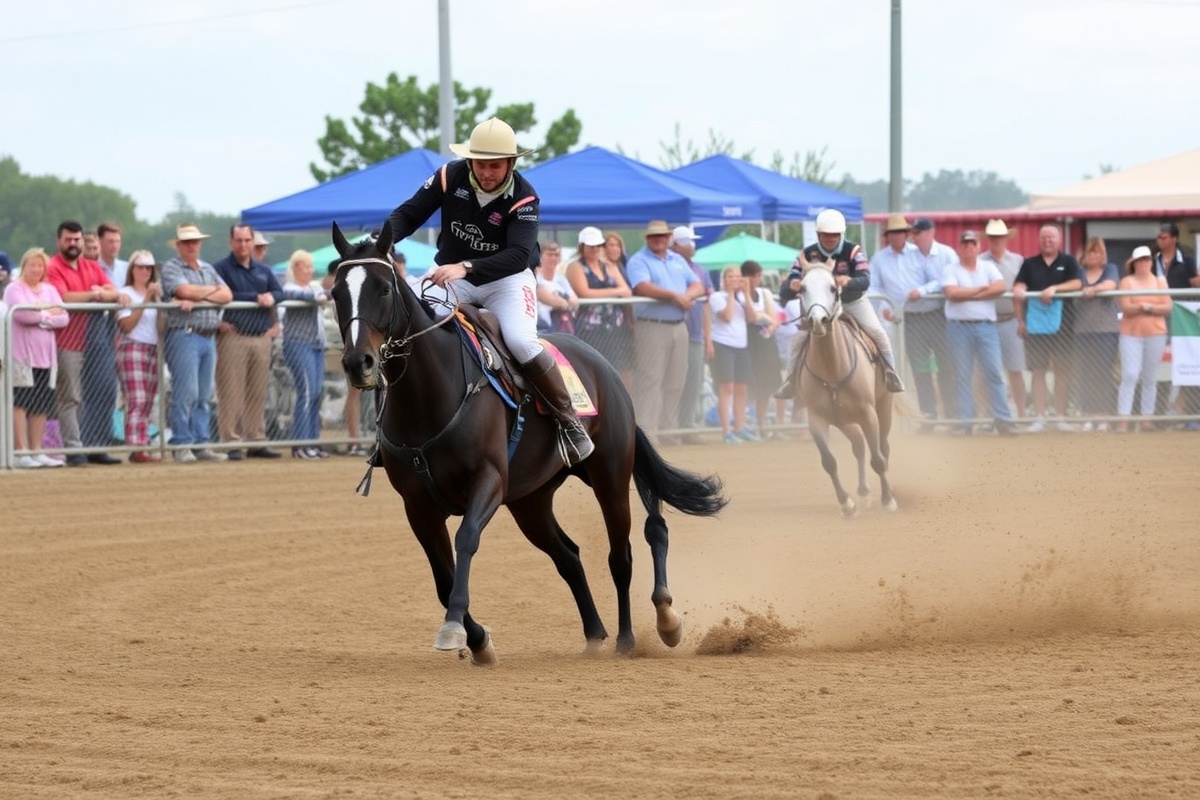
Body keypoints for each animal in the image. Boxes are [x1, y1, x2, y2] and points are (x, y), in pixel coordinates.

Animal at [326, 221, 729, 666]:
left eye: (382, 288)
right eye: (336, 292)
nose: (357, 362)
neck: (431, 394)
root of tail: (604, 368)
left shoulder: (488, 481)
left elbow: (466, 540)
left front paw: (457, 629)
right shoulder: (418, 506)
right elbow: (442, 577)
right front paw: (478, 639)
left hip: (609, 472)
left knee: (627, 549)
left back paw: (643, 630)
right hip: (530, 501)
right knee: (569, 556)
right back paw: (596, 633)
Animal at [792, 260, 897, 515]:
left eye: (832, 287)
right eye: (802, 288)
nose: (818, 321)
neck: (833, 369)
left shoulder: (869, 415)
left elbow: (878, 459)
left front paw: (888, 500)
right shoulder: (816, 420)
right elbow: (829, 462)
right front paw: (847, 504)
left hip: (883, 409)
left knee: (883, 448)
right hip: (844, 421)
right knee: (858, 446)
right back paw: (864, 492)